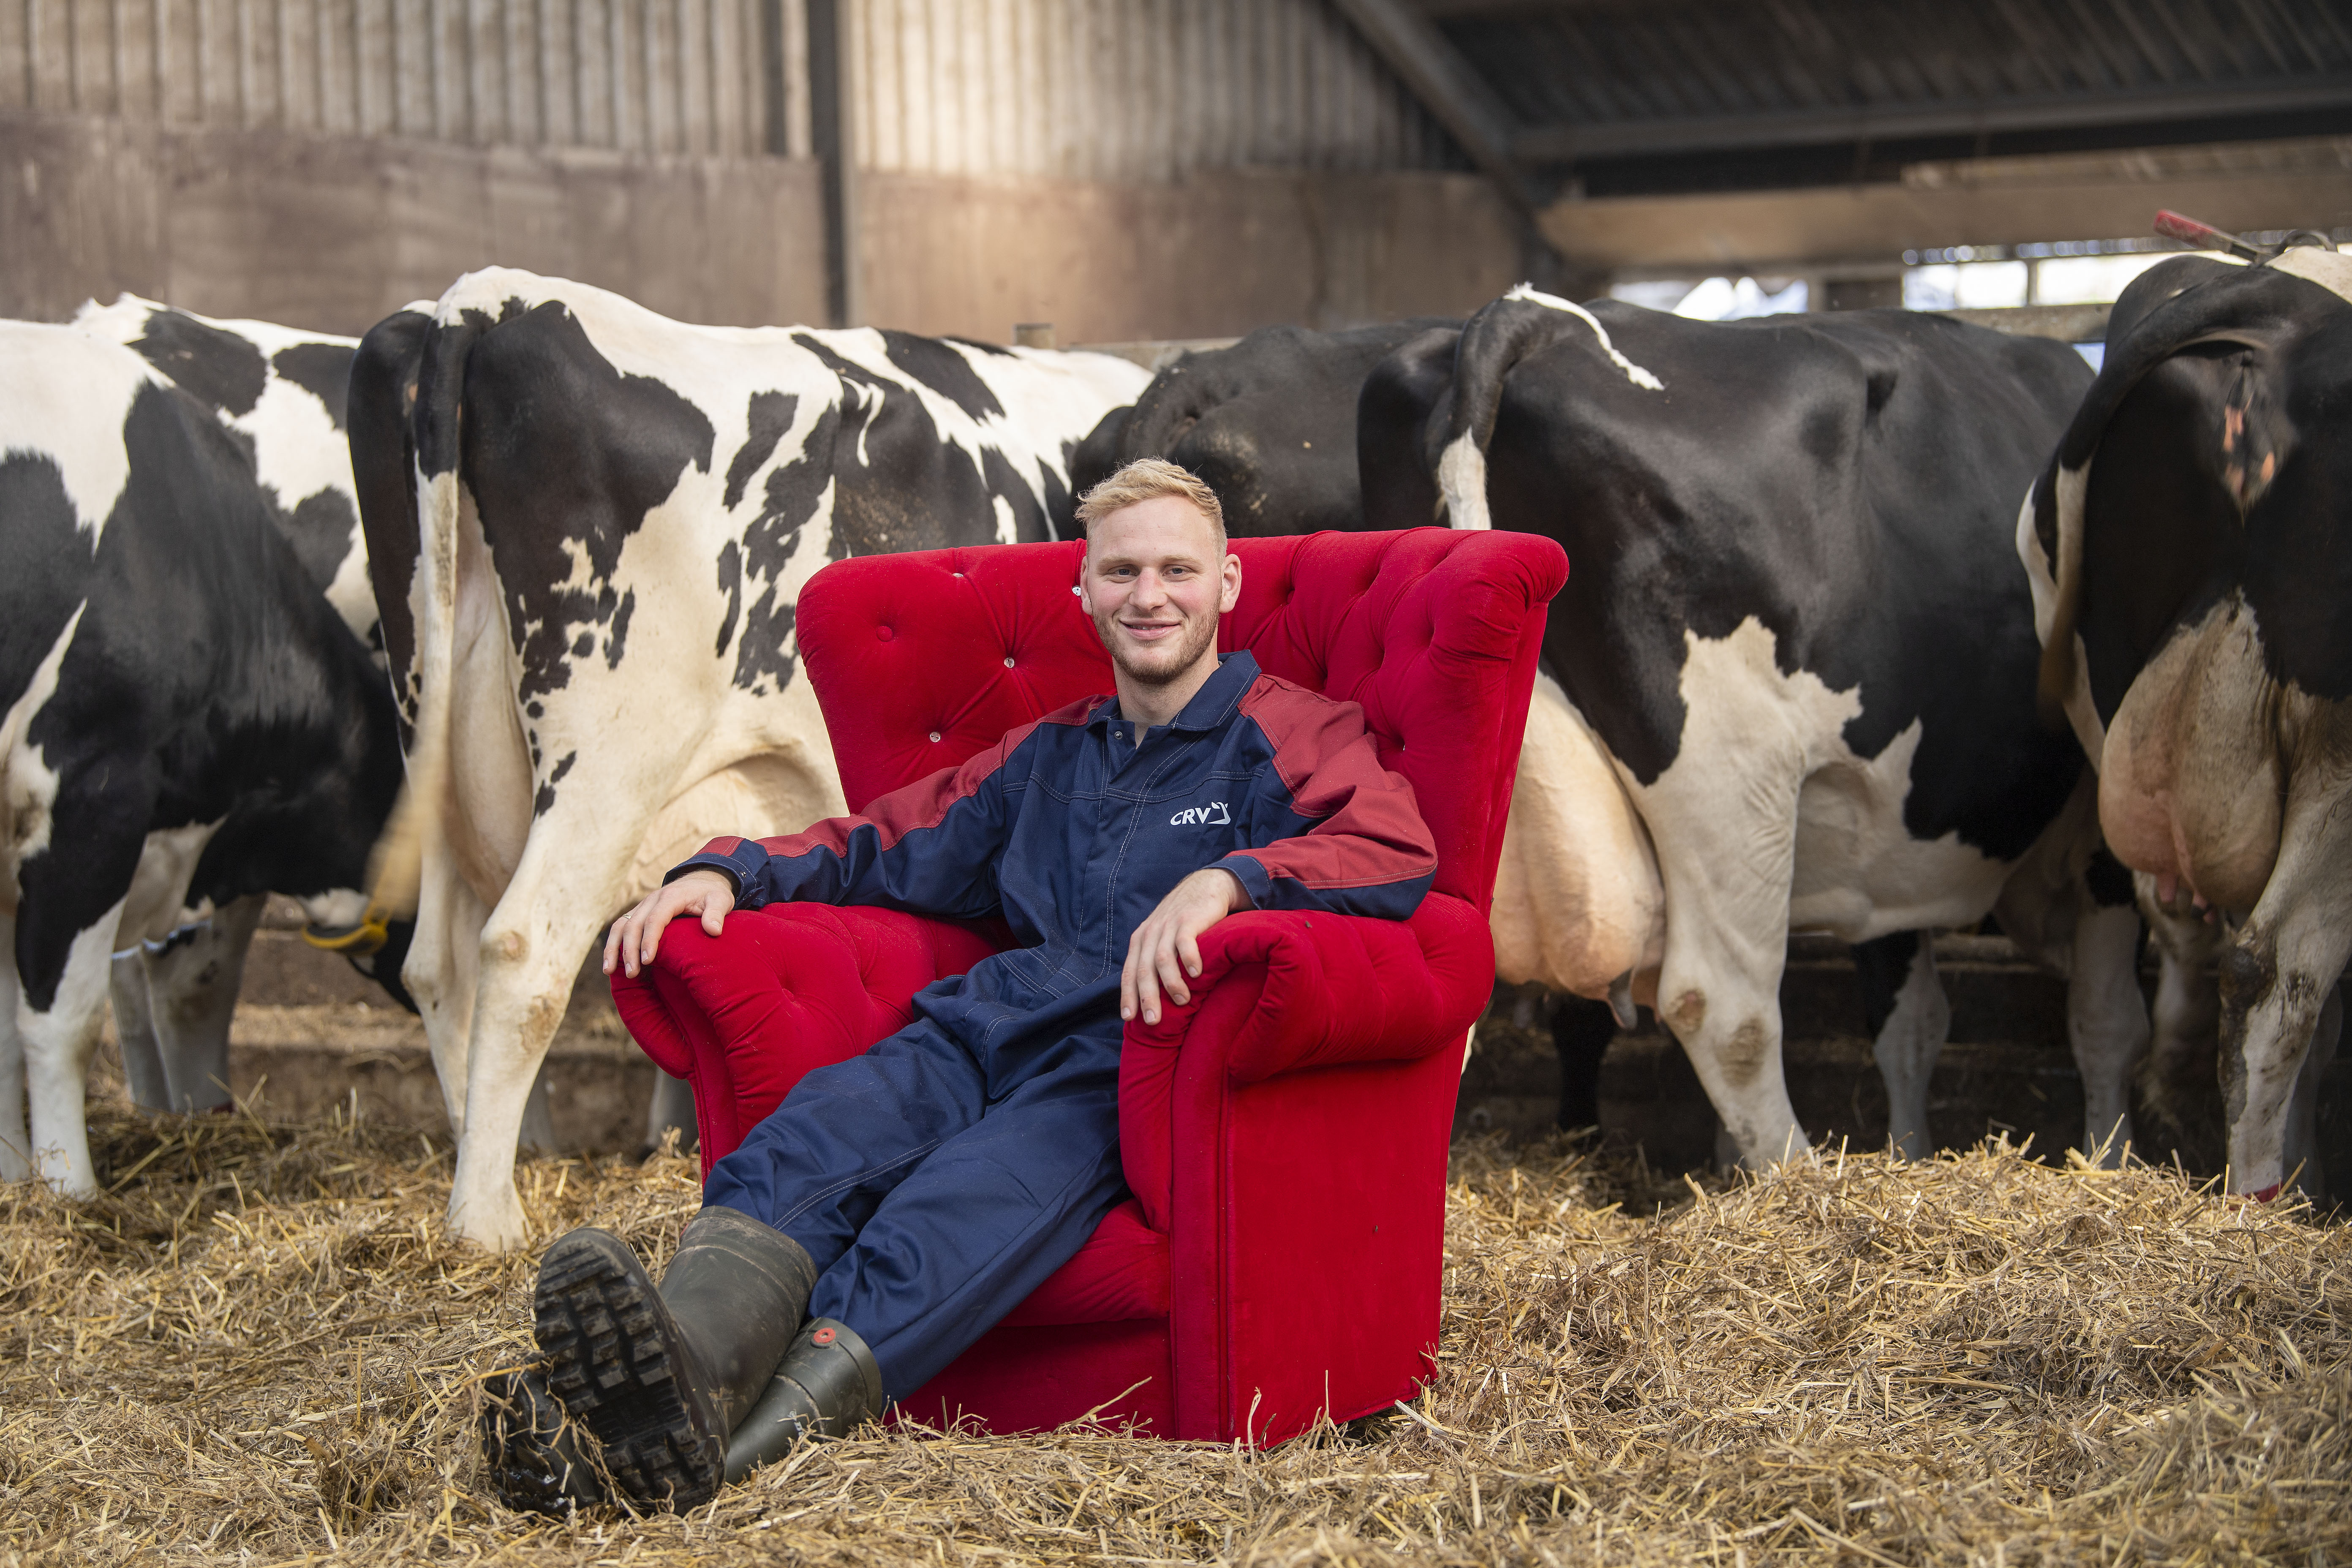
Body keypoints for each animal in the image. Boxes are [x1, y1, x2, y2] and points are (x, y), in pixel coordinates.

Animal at [348, 272, 1148, 1250]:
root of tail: (495, 296)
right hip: (612, 741)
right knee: (523, 947)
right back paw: (486, 1223)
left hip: (436, 728)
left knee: (442, 961)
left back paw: (499, 1167)